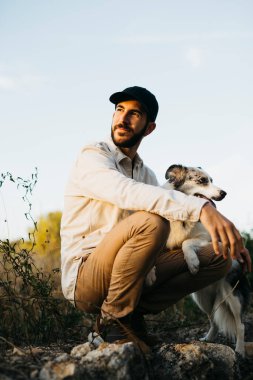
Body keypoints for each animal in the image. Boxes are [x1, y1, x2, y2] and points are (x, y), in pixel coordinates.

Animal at [145, 164, 250, 356]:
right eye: (202, 180)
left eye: (212, 180)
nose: (224, 193)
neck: (179, 213)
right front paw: (149, 274)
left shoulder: (209, 238)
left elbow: (186, 242)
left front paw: (192, 262)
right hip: (202, 298)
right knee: (213, 320)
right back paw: (208, 339)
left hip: (232, 295)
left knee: (240, 325)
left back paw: (239, 350)